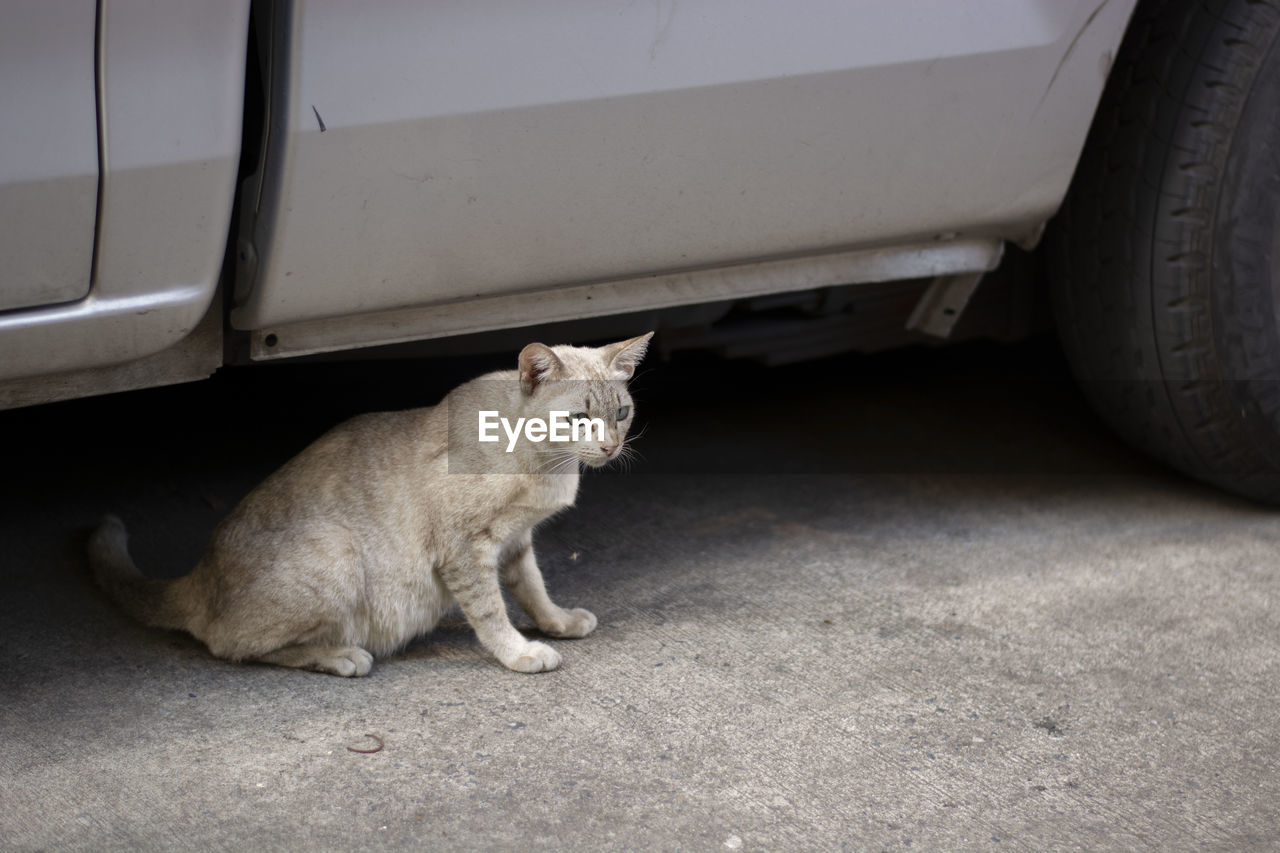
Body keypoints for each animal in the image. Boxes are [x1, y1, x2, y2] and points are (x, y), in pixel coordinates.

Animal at [85, 335, 655, 676]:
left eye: (621, 413)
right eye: (579, 418)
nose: (610, 447)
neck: (547, 468)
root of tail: (199, 573)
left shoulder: (516, 543)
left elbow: (534, 591)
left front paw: (557, 622)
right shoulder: (465, 552)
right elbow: (492, 613)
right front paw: (519, 653)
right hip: (336, 554)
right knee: (229, 645)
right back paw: (340, 656)